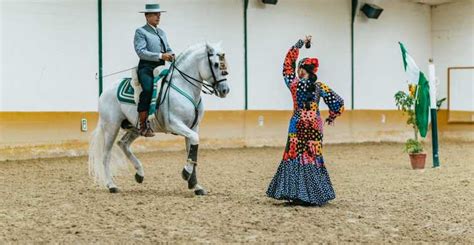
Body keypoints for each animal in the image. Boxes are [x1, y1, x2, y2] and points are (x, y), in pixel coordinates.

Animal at [89, 42, 231, 195]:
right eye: (216, 64)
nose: (225, 90)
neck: (184, 87)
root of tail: (106, 91)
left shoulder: (193, 127)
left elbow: (192, 151)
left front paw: (195, 185)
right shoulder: (175, 124)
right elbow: (194, 141)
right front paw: (186, 174)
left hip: (136, 128)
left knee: (123, 144)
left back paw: (139, 174)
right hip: (111, 127)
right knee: (106, 155)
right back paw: (111, 185)